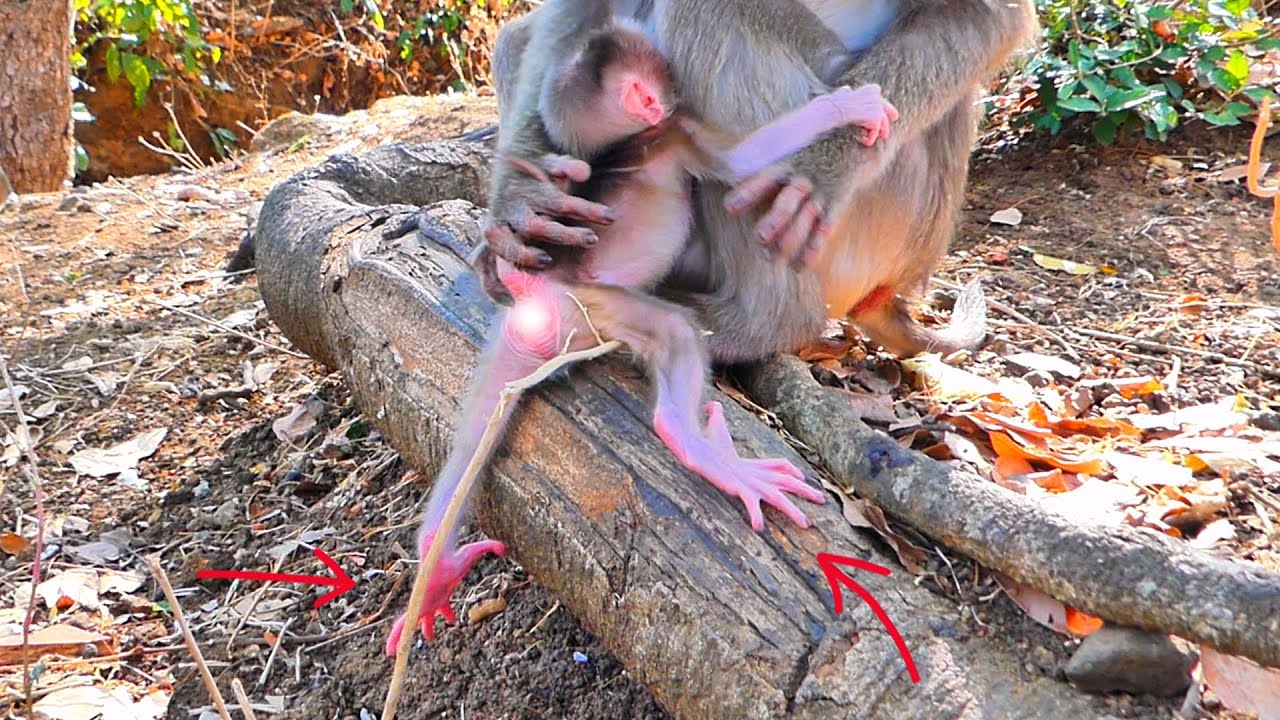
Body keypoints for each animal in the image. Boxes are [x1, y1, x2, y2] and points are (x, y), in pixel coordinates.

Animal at [385, 19, 900, 653]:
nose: (667, 95)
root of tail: (539, 292)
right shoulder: (678, 135)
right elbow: (743, 158)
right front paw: (844, 107)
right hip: (599, 307)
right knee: (675, 343)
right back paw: (705, 450)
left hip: (527, 340)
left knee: (467, 445)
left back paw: (434, 562)